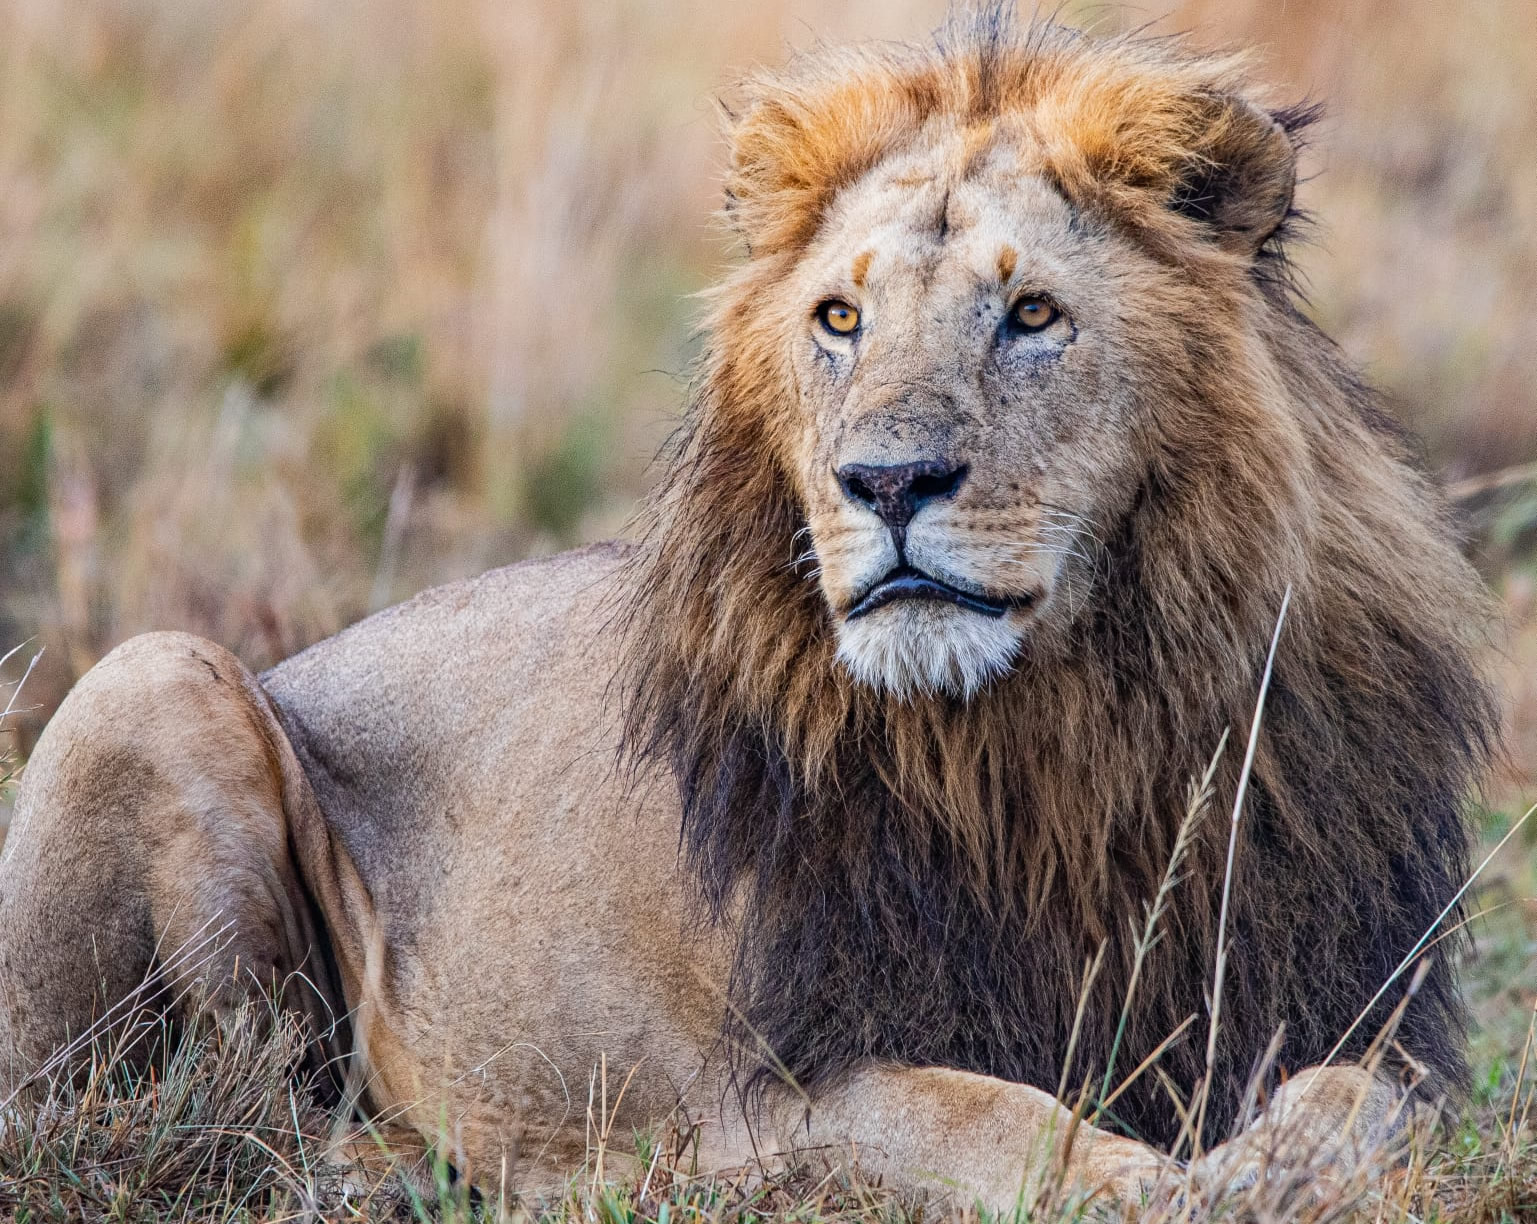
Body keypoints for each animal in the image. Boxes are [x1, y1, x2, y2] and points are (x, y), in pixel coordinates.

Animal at [0, 11, 1500, 1211]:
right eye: (839, 319)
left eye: (1030, 313)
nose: (885, 481)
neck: (1058, 742)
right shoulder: (777, 1092)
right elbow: (987, 1117)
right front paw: (1156, 1183)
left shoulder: (1349, 1001)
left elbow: (1366, 1103)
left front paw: (1276, 1166)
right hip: (158, 674)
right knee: (225, 1094)